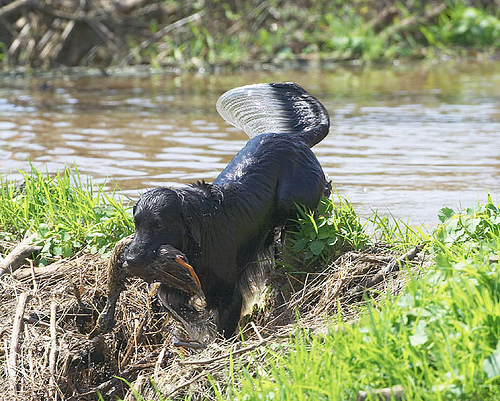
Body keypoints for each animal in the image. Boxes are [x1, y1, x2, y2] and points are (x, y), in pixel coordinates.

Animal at [106, 82, 330, 338]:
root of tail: (294, 139)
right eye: (136, 224)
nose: (130, 259)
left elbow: (223, 326)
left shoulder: (229, 295)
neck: (200, 240)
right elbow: (170, 297)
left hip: (292, 203)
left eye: (159, 225)